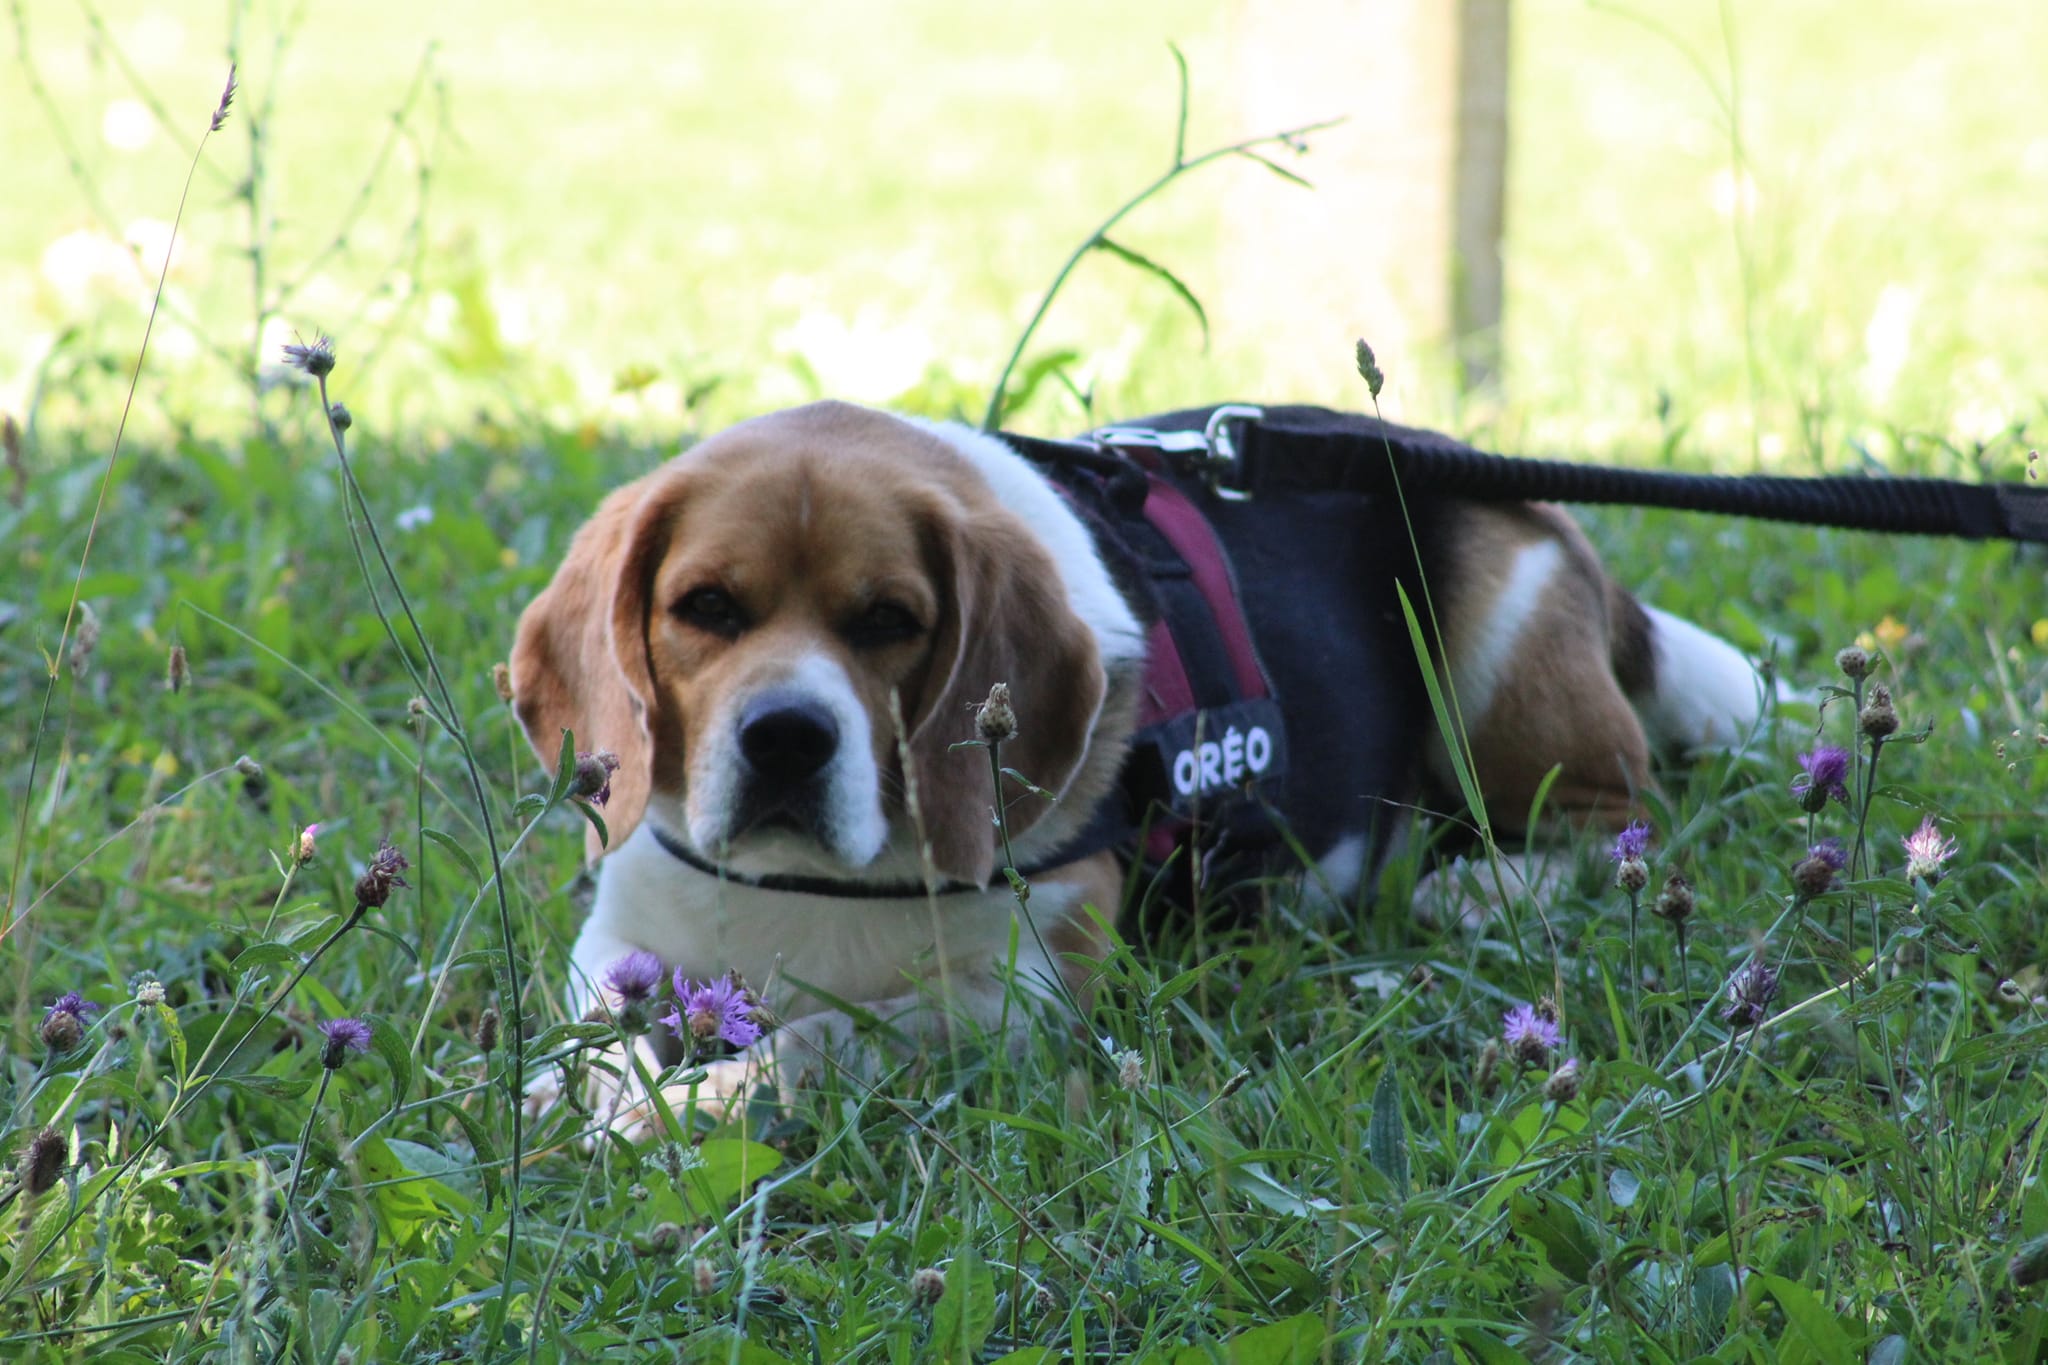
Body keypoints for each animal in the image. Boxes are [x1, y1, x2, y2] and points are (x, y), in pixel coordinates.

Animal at [510, 401, 1762, 1136]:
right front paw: (579, 1091)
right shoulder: (620, 938)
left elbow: (823, 1038)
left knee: (1620, 815)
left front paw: (697, 1099)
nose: (783, 737)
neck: (811, 884)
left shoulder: (1020, 991)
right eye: (705, 608)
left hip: (1491, 634)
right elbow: (603, 1026)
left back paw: (1485, 884)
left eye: (888, 622)